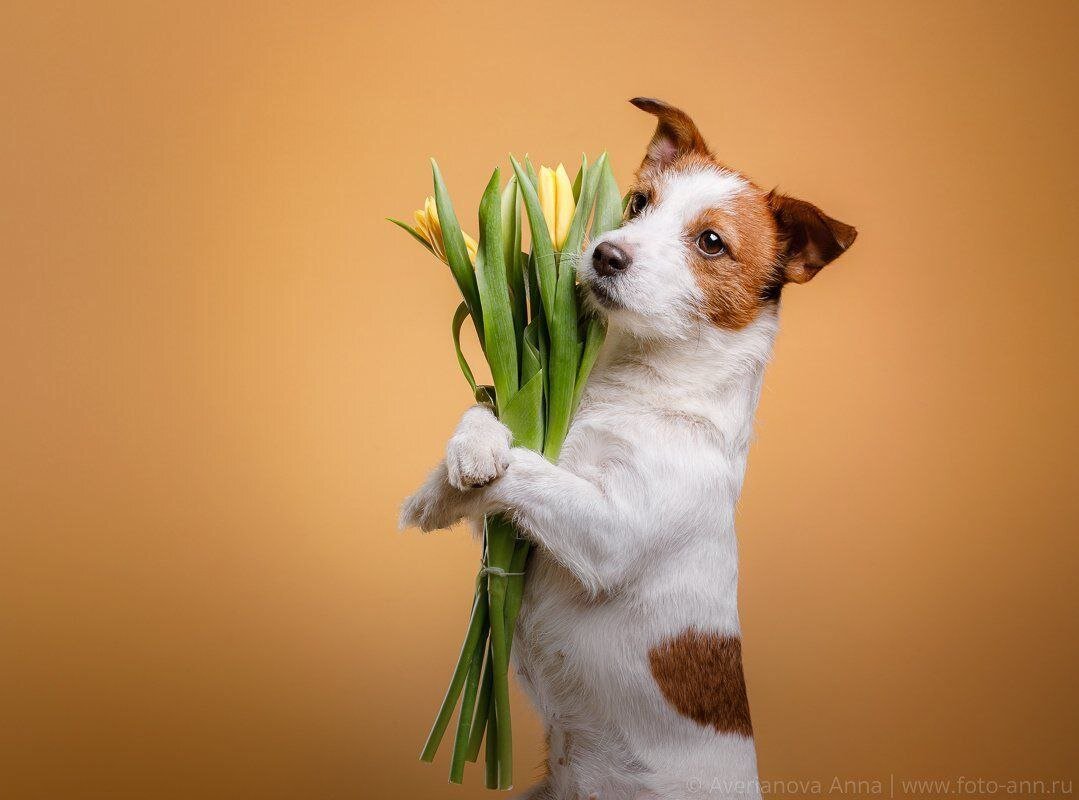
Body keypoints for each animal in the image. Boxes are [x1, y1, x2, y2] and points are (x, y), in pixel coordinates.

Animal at [401, 96, 854, 794]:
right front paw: (448, 477)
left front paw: (467, 475)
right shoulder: (511, 512)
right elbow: (491, 419)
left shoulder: (604, 533)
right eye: (638, 203)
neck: (633, 384)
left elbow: (531, 468)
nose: (605, 254)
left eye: (711, 241)